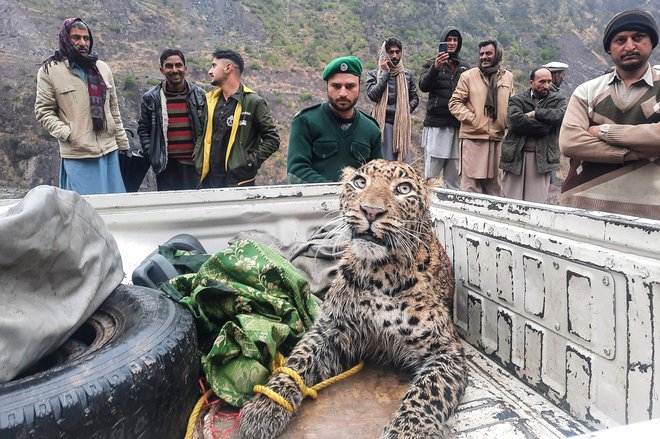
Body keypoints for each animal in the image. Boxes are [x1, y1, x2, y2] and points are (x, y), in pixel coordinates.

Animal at [240, 160, 466, 438]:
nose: (371, 211)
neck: (378, 274)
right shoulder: (331, 329)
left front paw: (407, 432)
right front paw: (266, 404)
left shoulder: (446, 349)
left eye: (403, 189)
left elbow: (428, 391)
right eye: (360, 182)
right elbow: (298, 359)